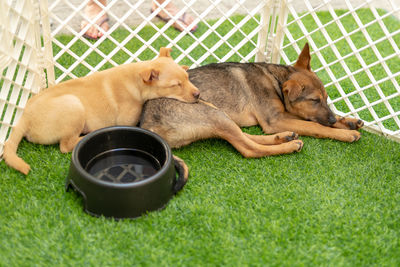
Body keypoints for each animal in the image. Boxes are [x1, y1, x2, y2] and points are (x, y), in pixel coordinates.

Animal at [1, 46, 198, 175]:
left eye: (187, 78)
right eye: (176, 85)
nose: (198, 94)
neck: (136, 81)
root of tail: (24, 117)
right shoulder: (128, 121)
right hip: (73, 105)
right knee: (66, 145)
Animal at [140, 43, 362, 163]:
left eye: (326, 98)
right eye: (314, 100)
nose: (331, 119)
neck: (275, 80)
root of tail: (146, 124)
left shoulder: (282, 115)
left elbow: (313, 120)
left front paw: (347, 121)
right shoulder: (274, 120)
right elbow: (315, 126)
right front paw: (344, 132)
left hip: (216, 113)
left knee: (246, 137)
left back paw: (283, 137)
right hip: (212, 113)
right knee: (250, 149)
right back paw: (288, 145)